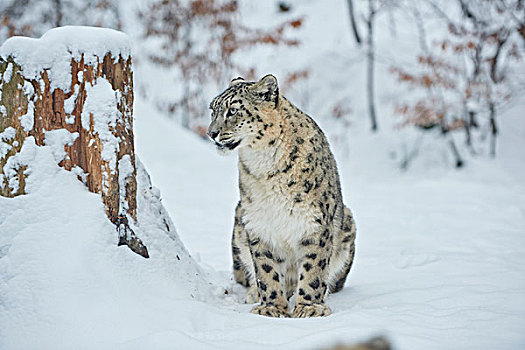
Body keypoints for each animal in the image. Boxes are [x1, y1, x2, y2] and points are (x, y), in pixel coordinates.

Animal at [207, 74, 354, 318]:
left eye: (233, 110)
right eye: (213, 110)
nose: (211, 133)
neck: (264, 165)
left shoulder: (314, 222)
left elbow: (314, 269)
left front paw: (308, 307)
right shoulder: (259, 222)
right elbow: (266, 270)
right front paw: (271, 307)